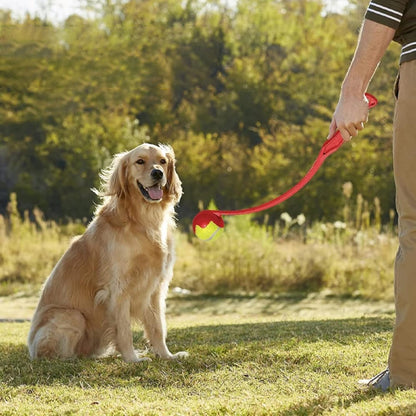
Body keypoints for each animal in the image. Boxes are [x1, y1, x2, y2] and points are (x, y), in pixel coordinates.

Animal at [27, 145, 187, 362]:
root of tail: (30, 347)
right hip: (72, 316)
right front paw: (132, 360)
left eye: (162, 161)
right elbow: (125, 330)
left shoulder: (156, 287)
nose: (158, 173)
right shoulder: (118, 289)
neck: (144, 221)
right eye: (140, 161)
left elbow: (158, 327)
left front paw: (167, 355)